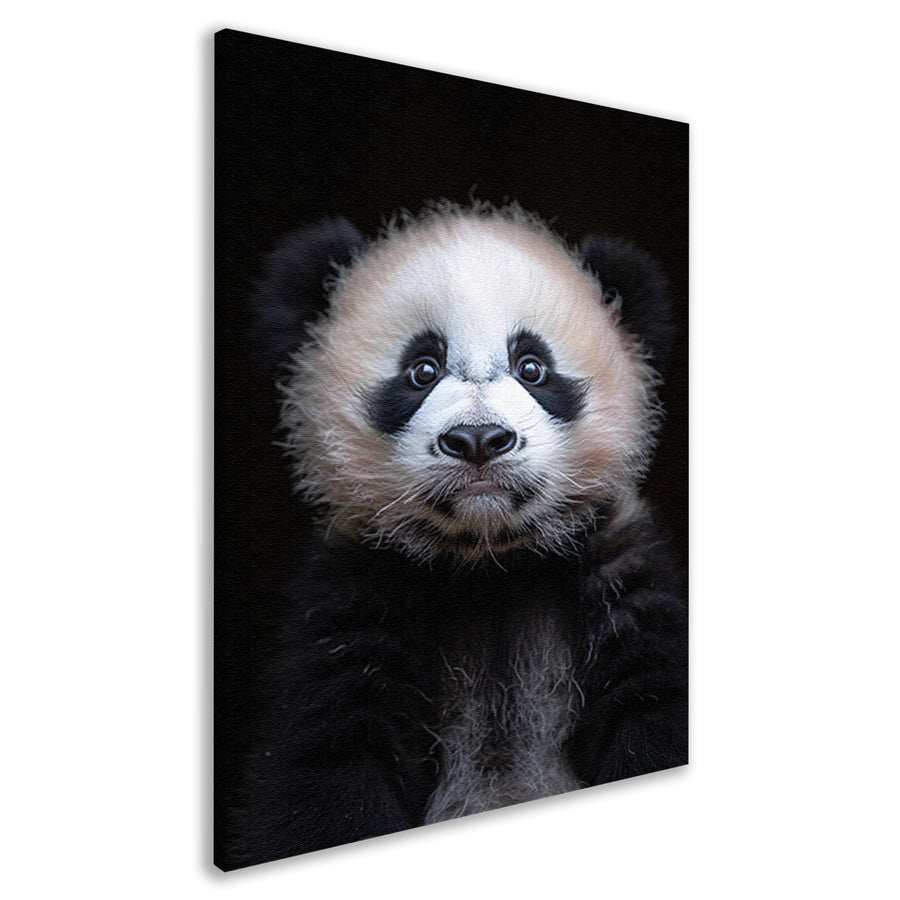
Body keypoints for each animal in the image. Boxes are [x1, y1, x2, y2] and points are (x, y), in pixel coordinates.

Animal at [227, 200, 687, 869]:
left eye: (532, 367)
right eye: (422, 370)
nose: (477, 440)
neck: (488, 564)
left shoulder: (622, 583)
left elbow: (657, 707)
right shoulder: (355, 600)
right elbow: (329, 768)